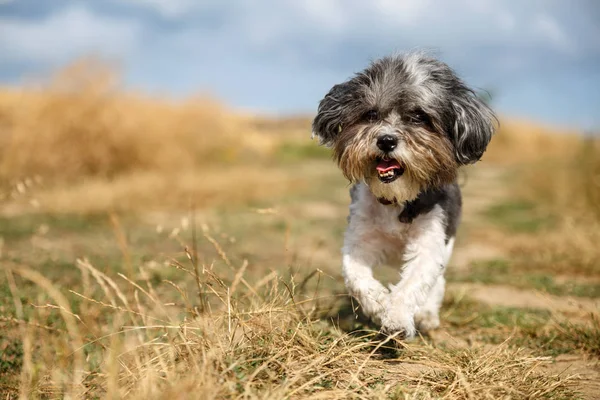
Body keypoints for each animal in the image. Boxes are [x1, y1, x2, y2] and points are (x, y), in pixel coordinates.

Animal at [312, 51, 494, 340]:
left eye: (419, 117)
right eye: (371, 114)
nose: (386, 140)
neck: (397, 199)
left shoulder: (430, 240)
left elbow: (414, 283)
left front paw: (397, 319)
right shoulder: (360, 238)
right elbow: (356, 276)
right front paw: (378, 304)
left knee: (436, 284)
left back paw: (426, 316)